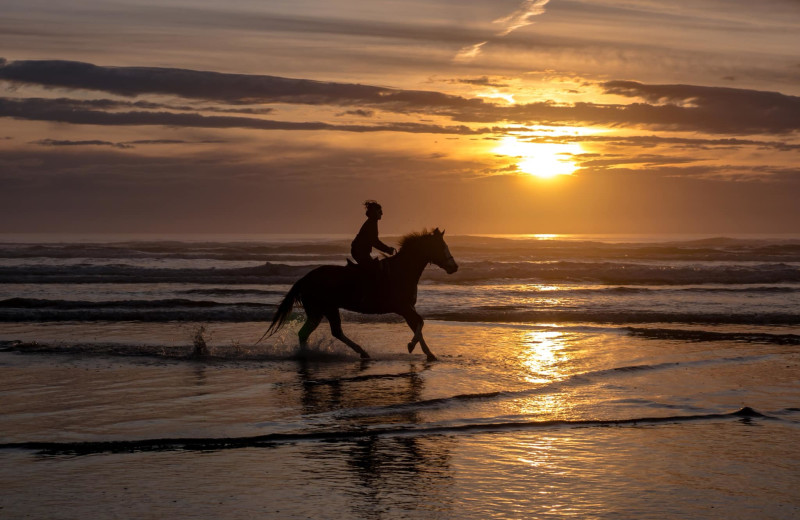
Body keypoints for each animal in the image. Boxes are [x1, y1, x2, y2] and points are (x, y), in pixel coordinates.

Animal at [266, 229, 460, 362]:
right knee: (322, 332)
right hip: (323, 309)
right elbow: (420, 323)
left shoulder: (408, 308)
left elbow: (418, 326)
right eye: (441, 247)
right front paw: (411, 346)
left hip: (321, 311)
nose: (454, 267)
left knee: (316, 333)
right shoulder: (403, 307)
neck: (402, 271)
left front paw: (429, 354)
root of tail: (305, 279)